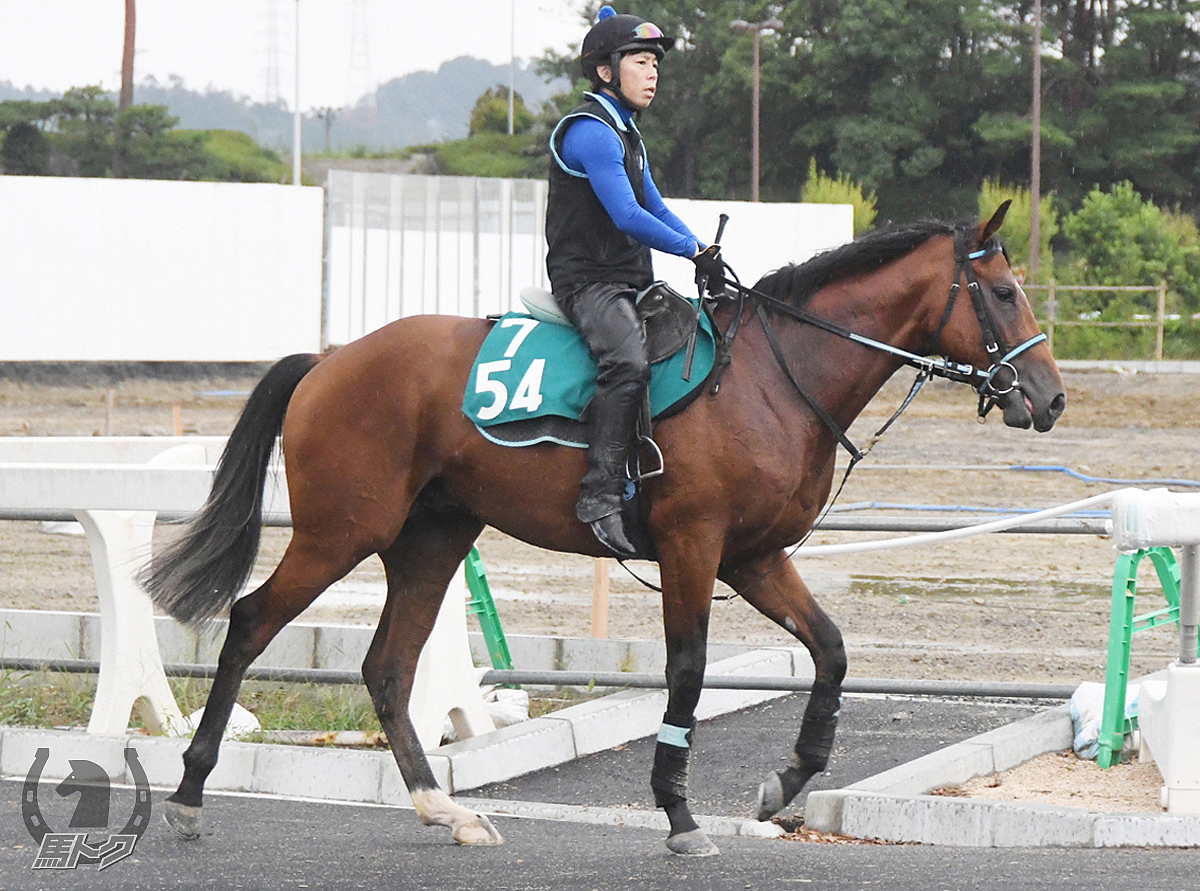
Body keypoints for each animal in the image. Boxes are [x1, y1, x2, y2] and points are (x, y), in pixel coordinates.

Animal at [145, 202, 1065, 859]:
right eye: (1005, 292)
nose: (1050, 398)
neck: (773, 377)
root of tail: (332, 358)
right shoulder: (696, 548)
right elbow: (688, 671)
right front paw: (680, 811)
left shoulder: (756, 557)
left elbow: (832, 650)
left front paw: (784, 782)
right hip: (341, 530)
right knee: (250, 622)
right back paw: (188, 795)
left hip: (431, 540)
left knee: (388, 667)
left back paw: (445, 809)